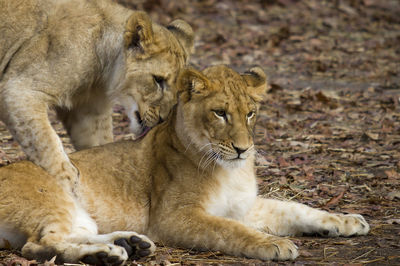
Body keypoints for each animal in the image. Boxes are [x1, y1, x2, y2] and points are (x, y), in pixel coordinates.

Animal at [0, 0, 194, 192]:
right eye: (158, 80)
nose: (163, 119)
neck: (101, 72)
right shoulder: (18, 89)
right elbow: (46, 143)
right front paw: (72, 185)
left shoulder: (88, 110)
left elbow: (99, 146)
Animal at [0, 65, 368, 264]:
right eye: (220, 113)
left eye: (250, 113)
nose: (243, 149)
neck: (231, 170)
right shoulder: (173, 218)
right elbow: (229, 230)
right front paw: (274, 244)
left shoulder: (244, 206)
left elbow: (295, 208)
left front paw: (347, 220)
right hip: (54, 199)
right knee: (39, 244)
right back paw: (107, 254)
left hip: (80, 215)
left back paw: (129, 244)